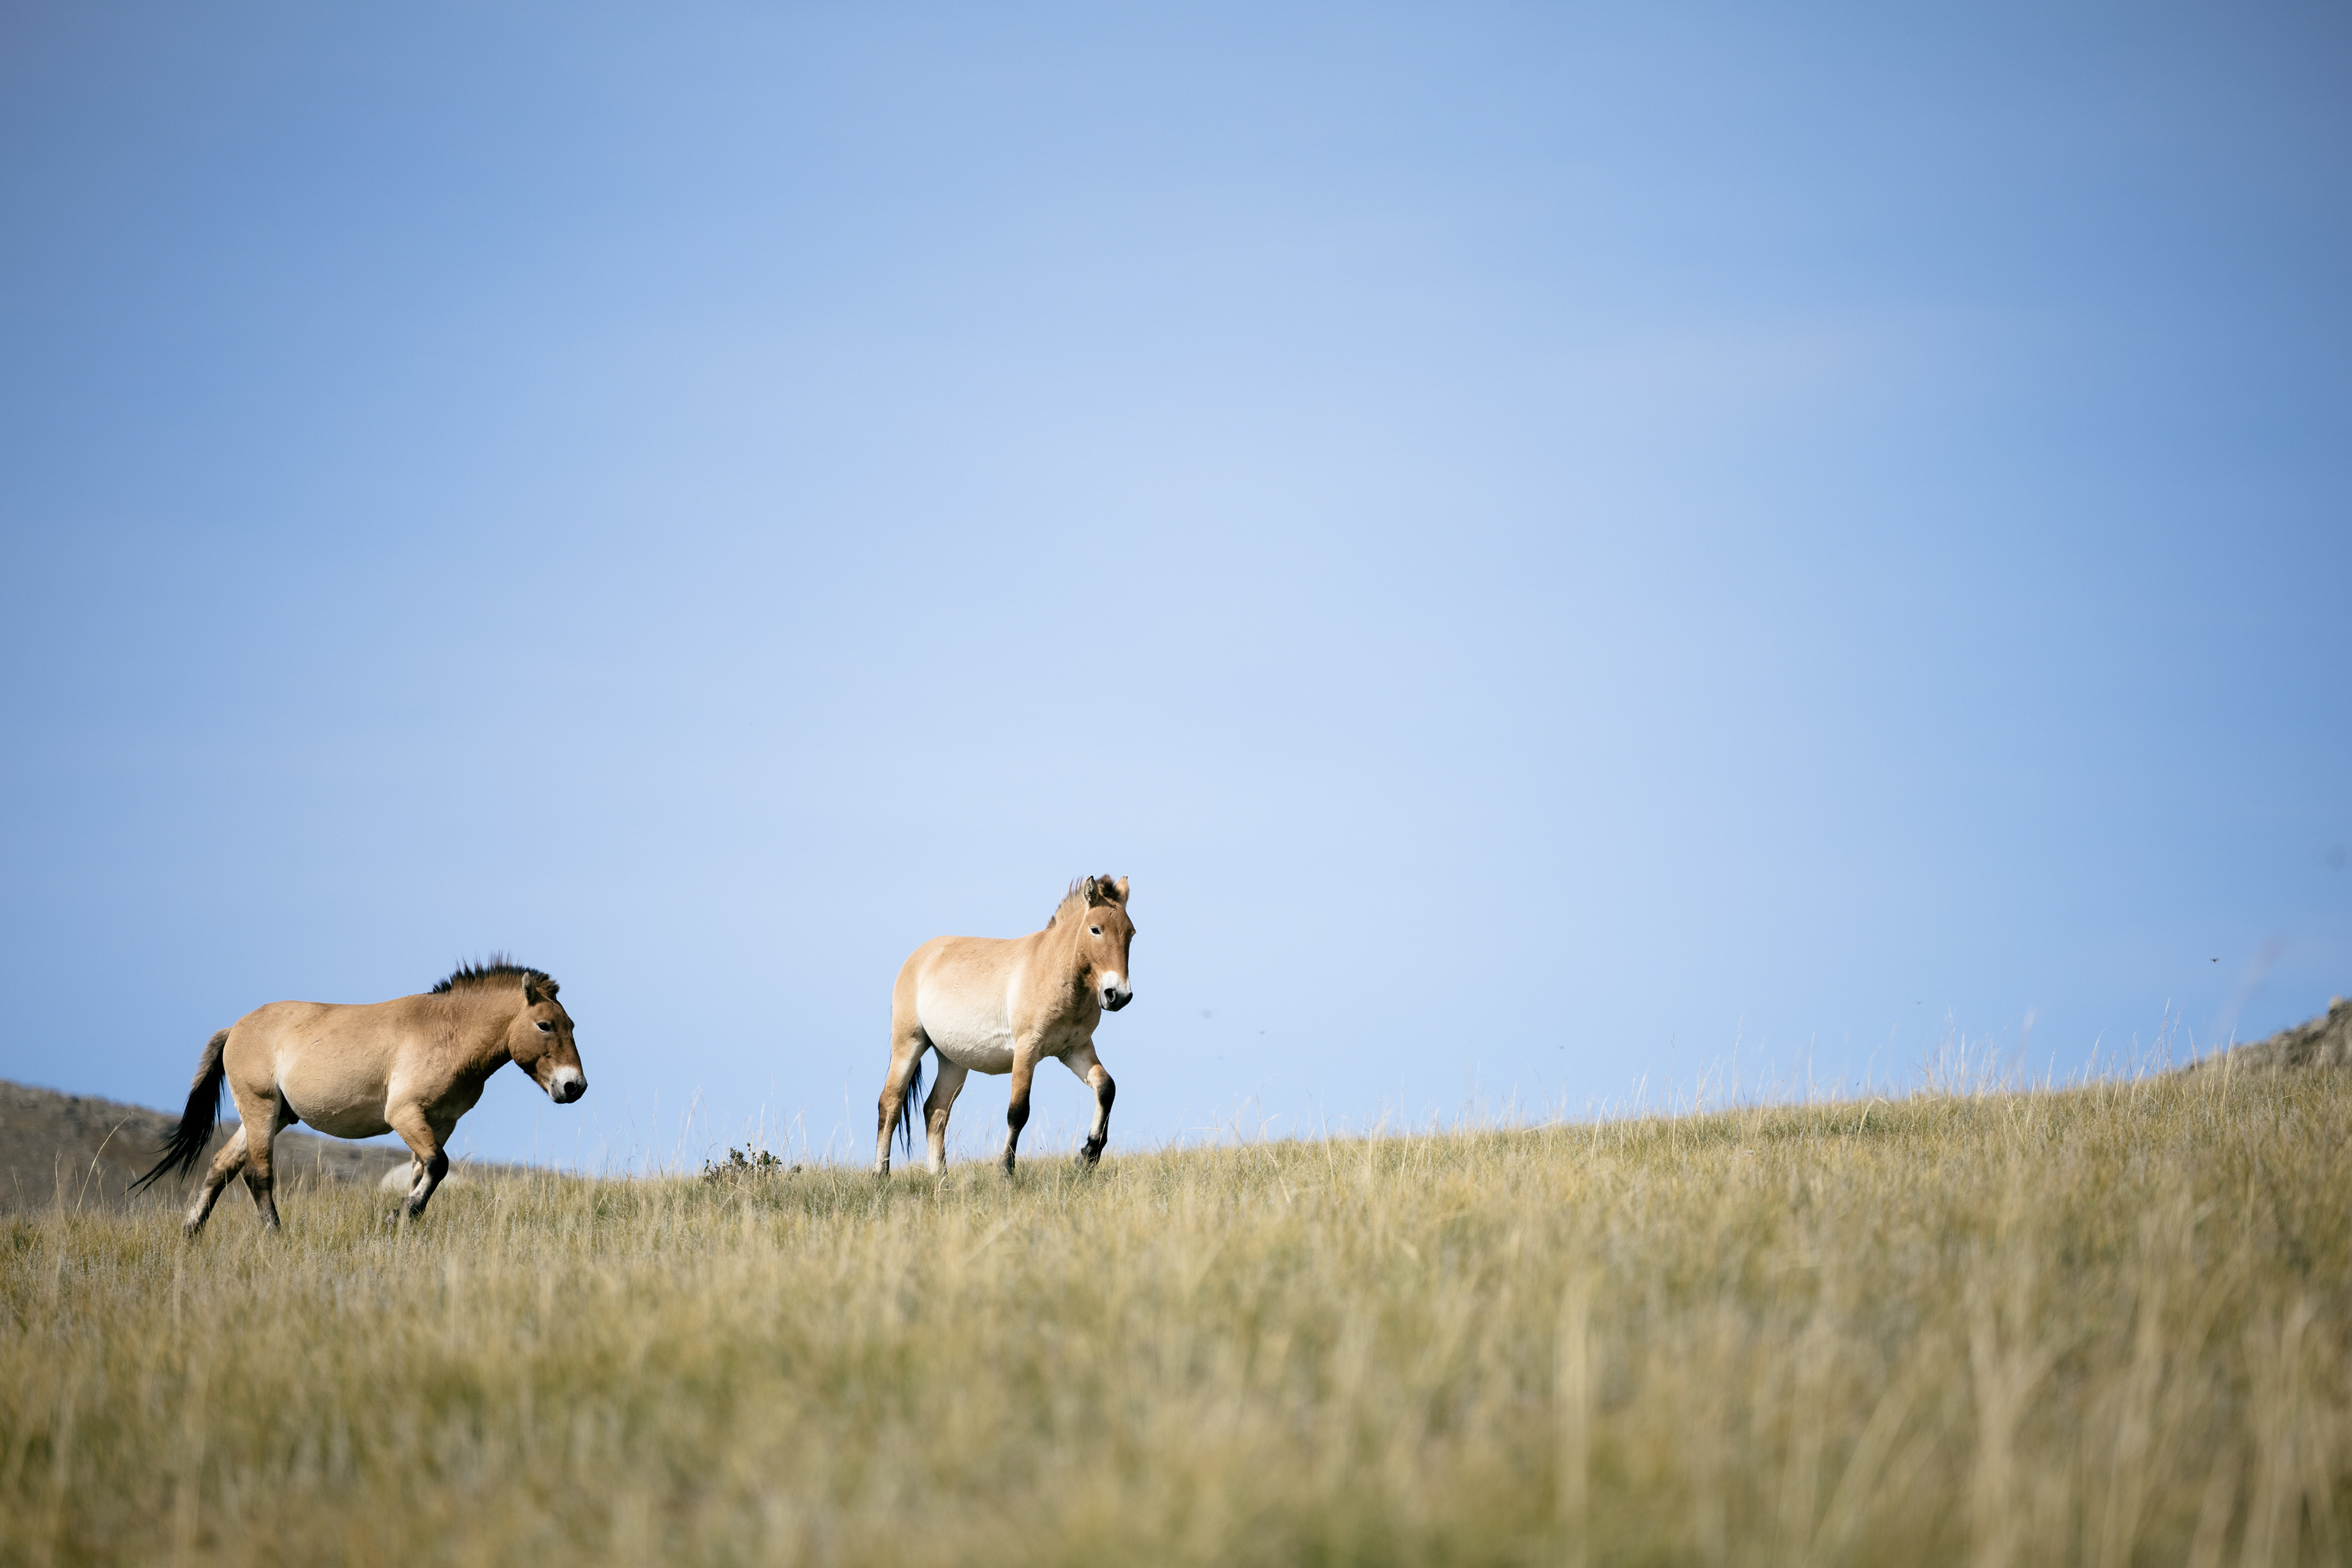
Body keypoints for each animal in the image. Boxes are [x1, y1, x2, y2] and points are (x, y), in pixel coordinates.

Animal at [130, 958, 586, 1235]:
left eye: (571, 1025)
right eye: (545, 1025)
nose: (574, 1087)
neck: (447, 1033)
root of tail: (236, 1027)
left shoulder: (441, 1123)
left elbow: (424, 1172)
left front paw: (403, 1219)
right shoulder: (405, 1115)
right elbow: (438, 1166)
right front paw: (398, 1216)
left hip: (275, 1116)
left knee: (222, 1166)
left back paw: (191, 1233)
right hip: (260, 1109)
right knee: (257, 1174)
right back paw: (275, 1235)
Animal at [874, 875, 1134, 1176]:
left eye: (1131, 933)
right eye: (1096, 930)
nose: (1118, 995)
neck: (1055, 971)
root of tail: (918, 957)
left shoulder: (1075, 1049)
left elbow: (1106, 1088)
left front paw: (1088, 1155)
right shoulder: (1027, 1049)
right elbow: (1018, 1111)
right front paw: (1006, 1171)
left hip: (953, 1060)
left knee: (936, 1111)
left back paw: (941, 1179)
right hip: (909, 1043)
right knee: (890, 1104)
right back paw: (880, 1175)